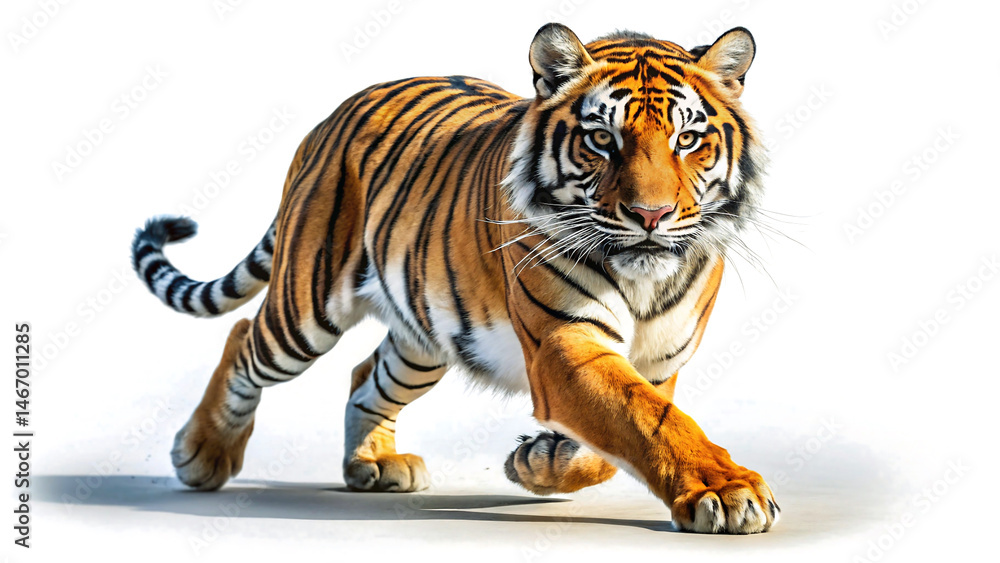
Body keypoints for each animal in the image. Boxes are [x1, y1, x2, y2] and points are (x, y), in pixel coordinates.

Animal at [130, 23, 778, 534]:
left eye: (687, 139)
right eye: (601, 138)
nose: (650, 215)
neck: (646, 281)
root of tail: (333, 115)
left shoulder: (661, 362)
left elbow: (630, 430)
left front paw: (539, 463)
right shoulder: (564, 342)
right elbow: (646, 420)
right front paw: (728, 492)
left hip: (425, 336)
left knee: (366, 374)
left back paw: (372, 464)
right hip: (304, 308)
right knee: (243, 336)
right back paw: (202, 454)